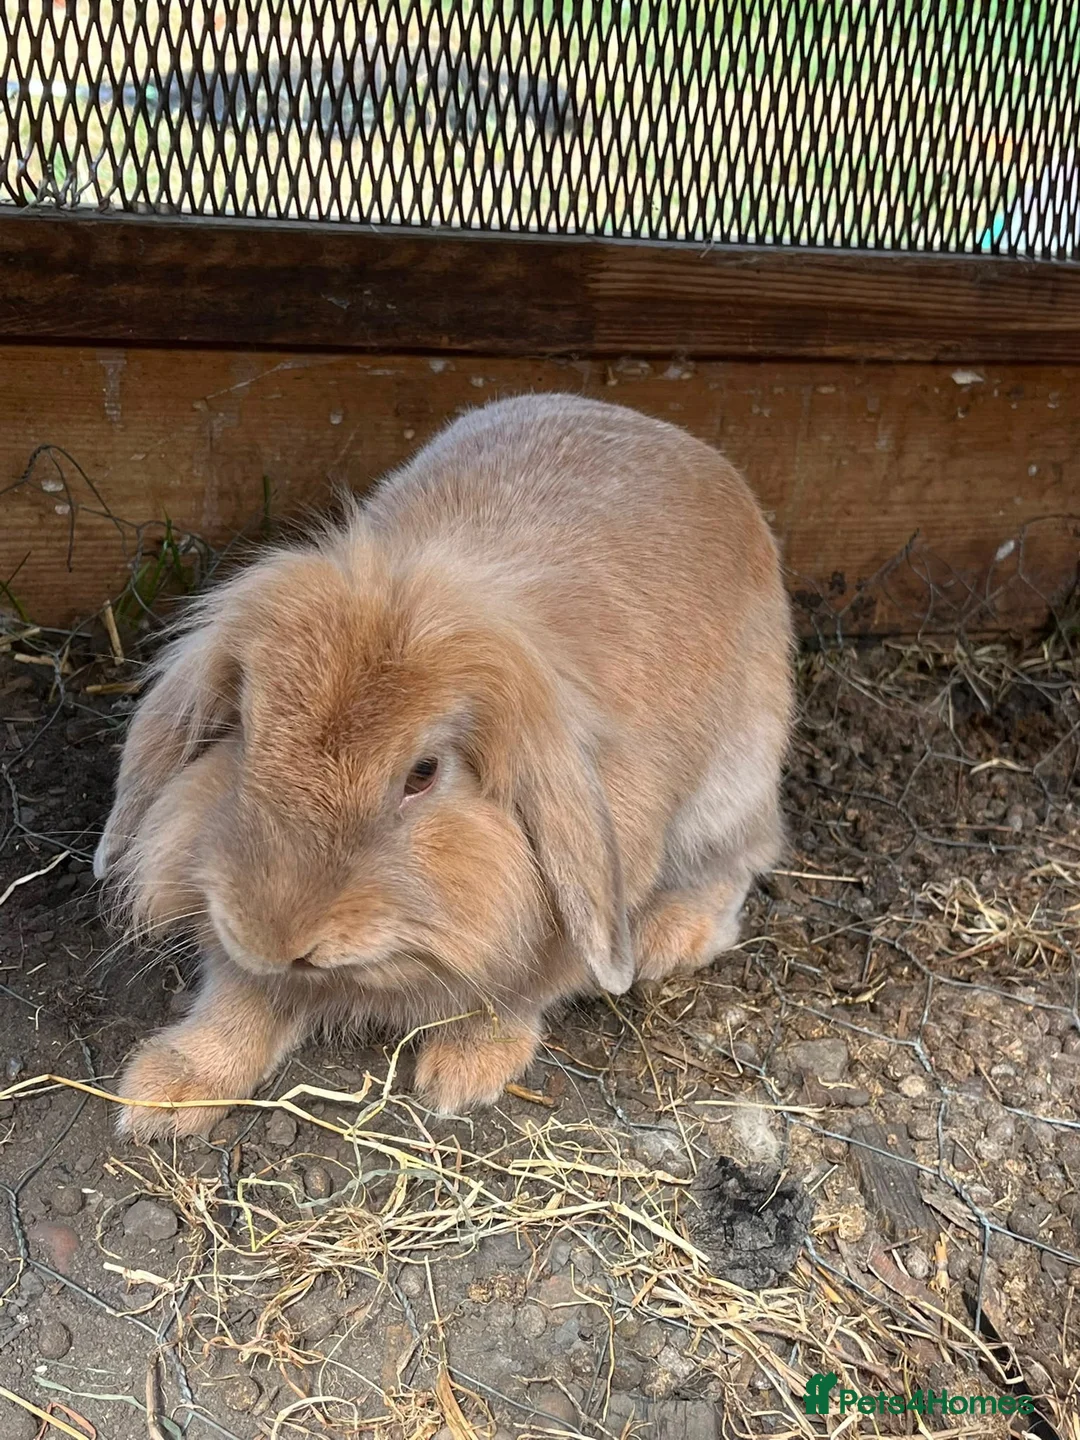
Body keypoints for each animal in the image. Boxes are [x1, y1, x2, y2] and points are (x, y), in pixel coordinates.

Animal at [94, 393, 793, 1140]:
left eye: (423, 773)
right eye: (245, 731)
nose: (276, 936)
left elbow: (511, 997)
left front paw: (462, 1073)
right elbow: (239, 1003)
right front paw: (163, 1091)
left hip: (733, 785)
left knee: (739, 863)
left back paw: (669, 936)